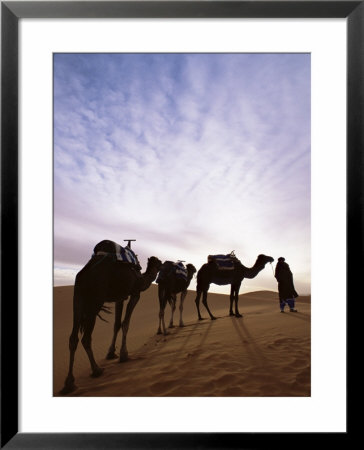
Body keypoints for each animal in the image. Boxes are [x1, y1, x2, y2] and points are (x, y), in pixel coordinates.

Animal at [60, 239, 161, 394]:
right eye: (159, 262)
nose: (162, 264)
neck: (141, 278)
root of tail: (83, 274)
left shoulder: (120, 297)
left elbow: (116, 324)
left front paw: (111, 353)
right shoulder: (135, 293)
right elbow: (125, 323)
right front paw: (124, 354)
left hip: (77, 299)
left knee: (73, 338)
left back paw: (69, 383)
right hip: (95, 301)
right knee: (86, 338)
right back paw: (96, 370)